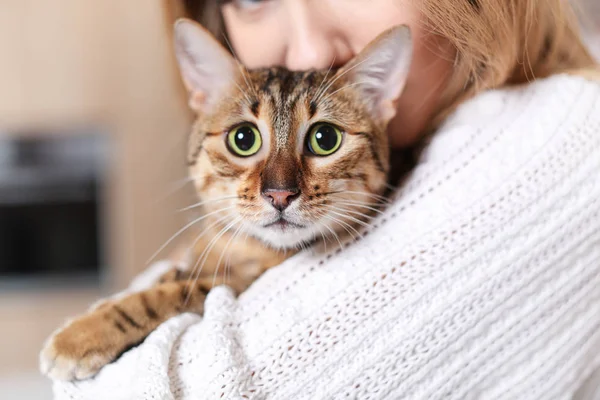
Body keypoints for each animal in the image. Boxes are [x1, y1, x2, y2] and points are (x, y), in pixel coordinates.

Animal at [37, 18, 412, 382]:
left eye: (325, 138)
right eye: (243, 138)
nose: (279, 193)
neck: (243, 248)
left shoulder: (240, 282)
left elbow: (174, 293)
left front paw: (80, 336)